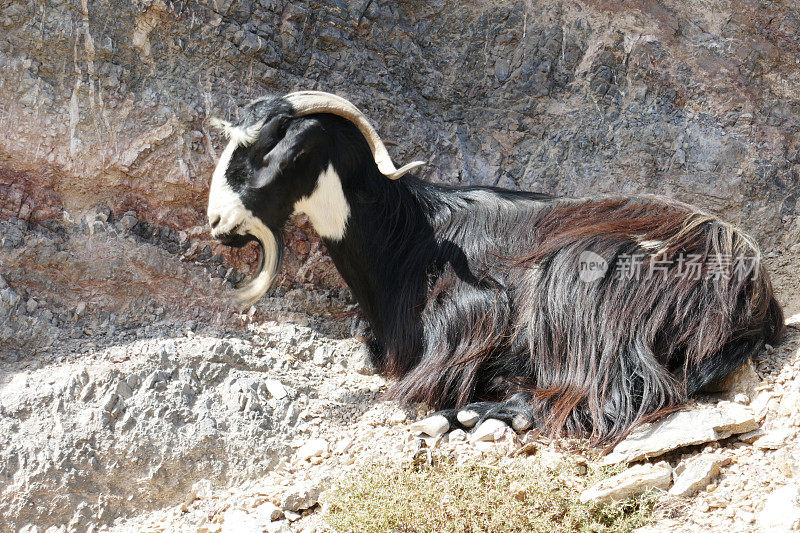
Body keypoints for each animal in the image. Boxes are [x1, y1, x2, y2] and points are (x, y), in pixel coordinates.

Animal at [203, 90, 784, 440]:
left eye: (279, 149)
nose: (218, 223)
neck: (410, 237)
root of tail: (747, 278)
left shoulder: (473, 309)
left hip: (578, 279)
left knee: (610, 394)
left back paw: (476, 413)